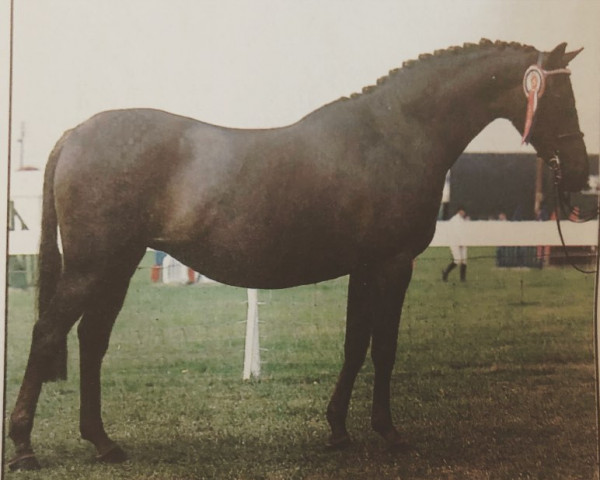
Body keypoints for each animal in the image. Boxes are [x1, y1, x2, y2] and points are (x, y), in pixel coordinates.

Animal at [7, 40, 588, 468]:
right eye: (559, 96)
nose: (581, 171)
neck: (395, 134)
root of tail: (75, 134)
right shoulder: (392, 265)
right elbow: (384, 349)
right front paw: (388, 432)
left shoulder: (365, 268)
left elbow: (355, 346)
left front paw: (338, 430)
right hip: (92, 266)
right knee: (49, 333)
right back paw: (25, 447)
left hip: (119, 264)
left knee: (91, 340)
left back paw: (103, 442)